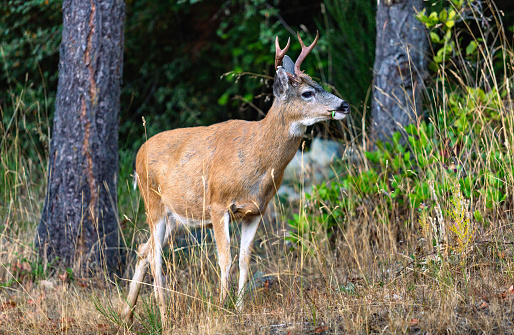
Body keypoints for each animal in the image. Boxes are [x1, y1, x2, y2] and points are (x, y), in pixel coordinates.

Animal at [122, 31, 350, 326]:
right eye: (307, 93)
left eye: (318, 84)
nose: (343, 105)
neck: (257, 163)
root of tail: (139, 153)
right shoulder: (218, 204)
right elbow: (225, 259)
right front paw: (222, 307)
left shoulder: (256, 210)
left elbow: (244, 259)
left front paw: (240, 309)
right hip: (153, 203)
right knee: (156, 256)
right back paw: (163, 315)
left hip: (176, 216)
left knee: (143, 248)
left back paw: (127, 314)